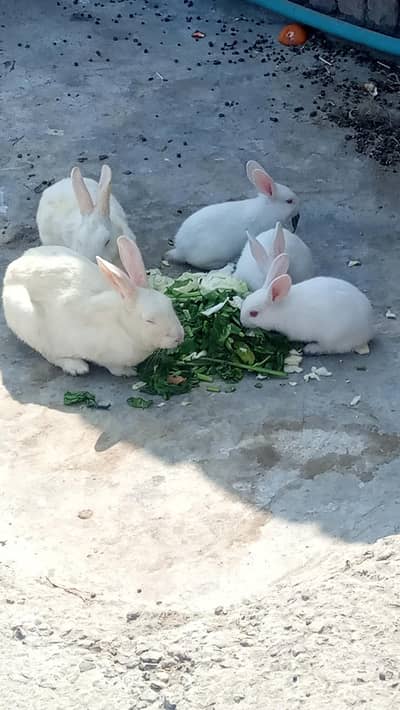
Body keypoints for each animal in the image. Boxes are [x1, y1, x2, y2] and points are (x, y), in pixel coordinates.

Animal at [2, 236, 184, 376]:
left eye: (170, 304)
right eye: (149, 320)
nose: (179, 337)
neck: (122, 325)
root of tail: (11, 270)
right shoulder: (103, 353)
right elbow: (114, 367)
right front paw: (129, 372)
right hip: (34, 327)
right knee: (51, 354)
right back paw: (77, 367)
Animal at [240, 253, 374, 354]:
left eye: (253, 313)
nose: (242, 321)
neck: (280, 309)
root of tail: (368, 329)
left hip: (333, 337)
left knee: (331, 348)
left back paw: (311, 349)